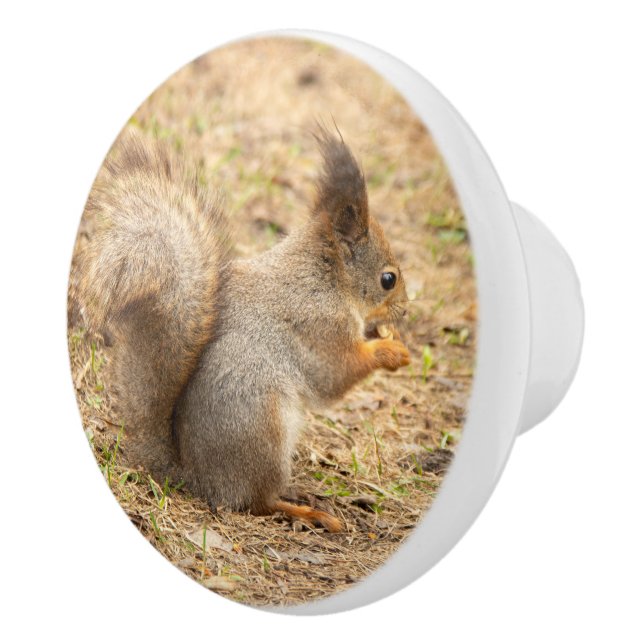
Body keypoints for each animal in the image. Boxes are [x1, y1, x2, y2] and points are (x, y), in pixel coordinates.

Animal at [72, 126, 411, 532]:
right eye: (388, 279)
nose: (406, 309)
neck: (326, 278)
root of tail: (197, 478)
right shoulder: (320, 325)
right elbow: (335, 375)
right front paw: (390, 351)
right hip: (262, 430)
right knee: (257, 502)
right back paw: (305, 512)